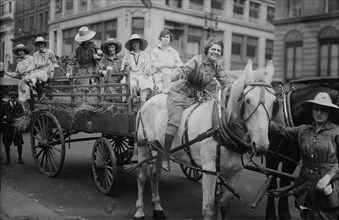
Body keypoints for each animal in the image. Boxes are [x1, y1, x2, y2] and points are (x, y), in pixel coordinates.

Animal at [134, 60, 278, 220]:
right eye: (247, 100)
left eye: (274, 102)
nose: (261, 145)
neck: (221, 126)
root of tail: (147, 101)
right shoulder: (209, 170)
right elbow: (208, 208)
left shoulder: (235, 172)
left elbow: (224, 205)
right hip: (143, 145)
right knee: (141, 178)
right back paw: (139, 210)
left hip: (159, 147)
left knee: (155, 175)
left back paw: (158, 206)